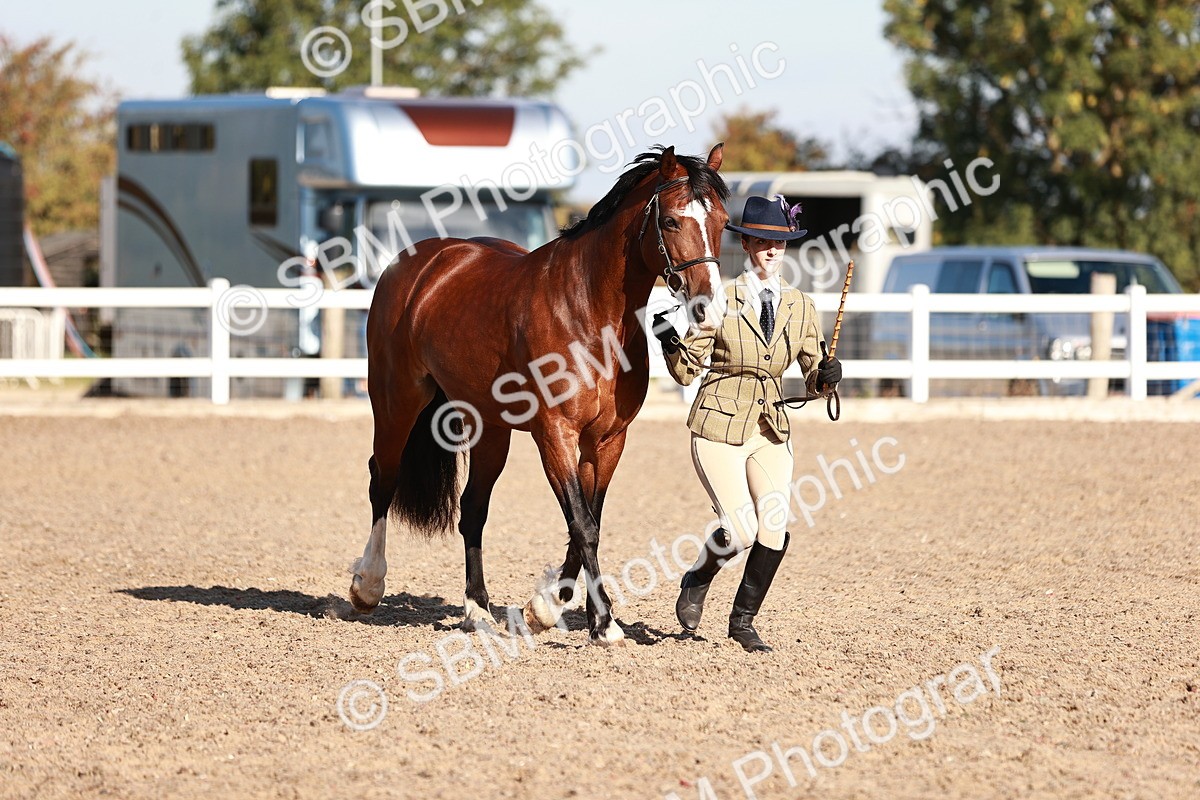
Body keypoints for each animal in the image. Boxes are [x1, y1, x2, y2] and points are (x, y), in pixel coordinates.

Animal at [349, 144, 730, 645]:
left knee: (472, 509)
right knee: (383, 480)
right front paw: (604, 624)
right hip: (396, 402)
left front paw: (549, 608)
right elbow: (583, 525)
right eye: (670, 221)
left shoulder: (608, 440)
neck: (588, 310)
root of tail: (418, 263)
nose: (711, 308)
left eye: (723, 220)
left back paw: (478, 610)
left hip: (490, 429)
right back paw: (368, 586)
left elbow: (589, 520)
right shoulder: (555, 434)